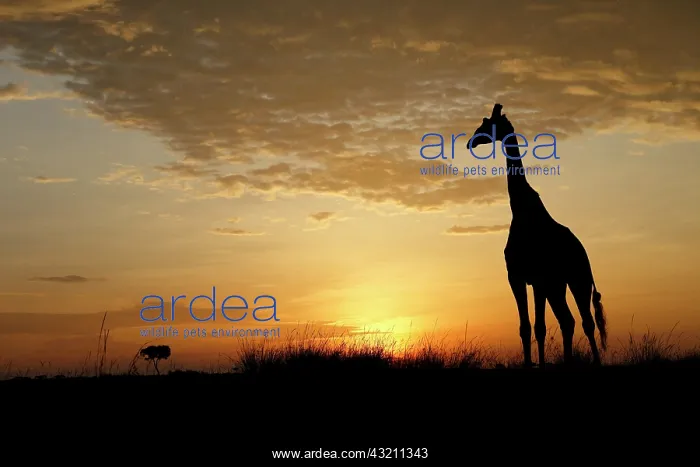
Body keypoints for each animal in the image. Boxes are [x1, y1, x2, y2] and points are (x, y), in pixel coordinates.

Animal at [470, 103, 608, 367]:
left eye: (487, 122)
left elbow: (536, 326)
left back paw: (593, 362)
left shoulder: (529, 278)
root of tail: (583, 251)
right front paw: (534, 364)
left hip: (578, 278)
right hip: (559, 284)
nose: (471, 141)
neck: (521, 211)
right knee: (569, 320)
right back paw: (569, 362)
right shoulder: (525, 278)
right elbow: (531, 327)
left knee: (585, 321)